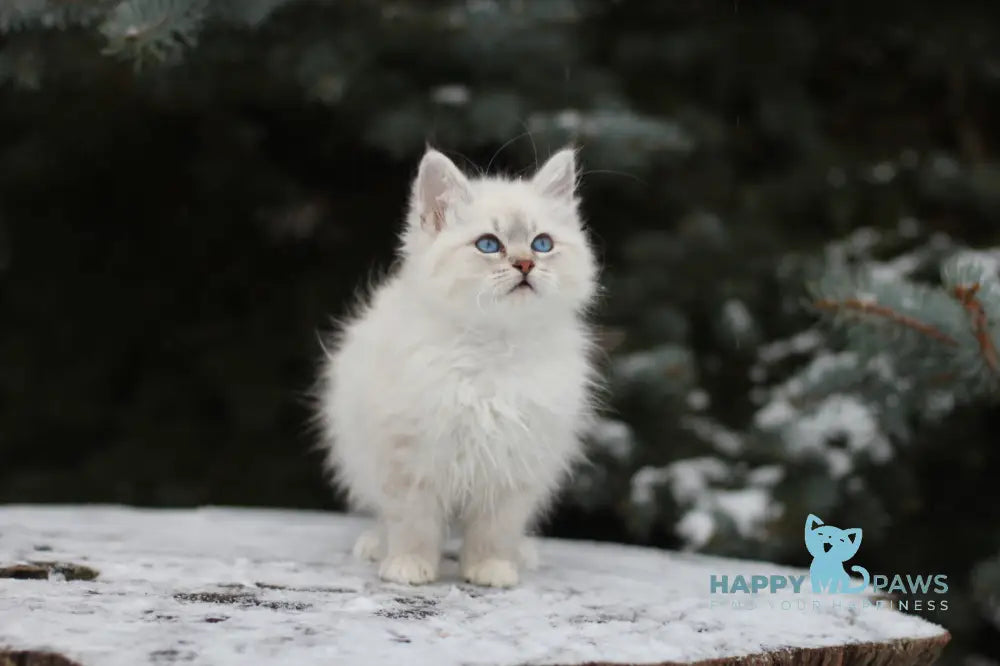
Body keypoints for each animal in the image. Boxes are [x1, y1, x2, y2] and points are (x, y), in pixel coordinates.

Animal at [320, 147, 596, 588]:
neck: (492, 349)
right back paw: (378, 546)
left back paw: (521, 554)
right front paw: (409, 566)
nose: (525, 265)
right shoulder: (409, 456)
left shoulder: (514, 461)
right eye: (488, 244)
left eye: (541, 244)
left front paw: (491, 569)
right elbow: (412, 522)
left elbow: (494, 529)